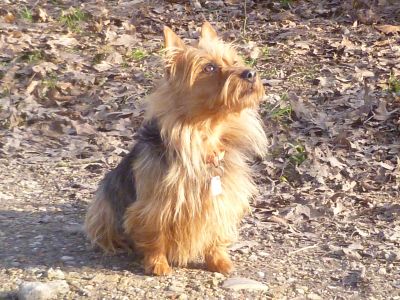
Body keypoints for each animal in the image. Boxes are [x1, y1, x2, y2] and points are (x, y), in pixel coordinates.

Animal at [85, 20, 268, 274]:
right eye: (209, 68)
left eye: (233, 61)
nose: (250, 73)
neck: (203, 137)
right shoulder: (154, 206)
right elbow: (154, 235)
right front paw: (157, 263)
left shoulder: (222, 200)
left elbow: (216, 233)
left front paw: (219, 259)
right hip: (105, 206)